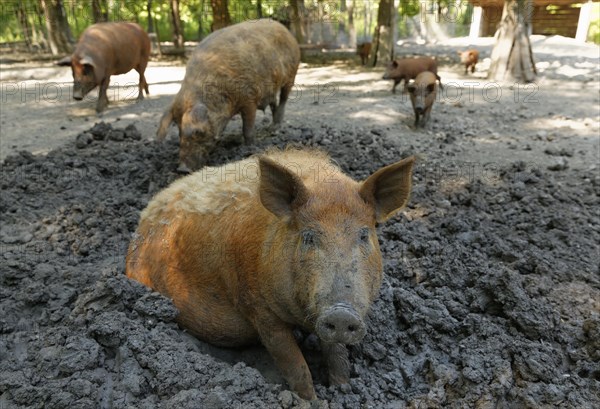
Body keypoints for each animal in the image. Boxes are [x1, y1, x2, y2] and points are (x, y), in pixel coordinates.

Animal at [125, 147, 418, 398]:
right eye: (308, 236)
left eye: (364, 235)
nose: (342, 313)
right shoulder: (256, 306)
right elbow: (293, 362)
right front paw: (311, 401)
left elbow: (336, 353)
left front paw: (342, 389)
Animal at [157, 19, 302, 173]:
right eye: (179, 132)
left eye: (198, 132)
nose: (182, 169)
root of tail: (287, 31)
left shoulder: (249, 98)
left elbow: (248, 127)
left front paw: (249, 147)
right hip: (272, 87)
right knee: (274, 103)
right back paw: (271, 126)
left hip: (292, 74)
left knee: (284, 99)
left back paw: (276, 128)